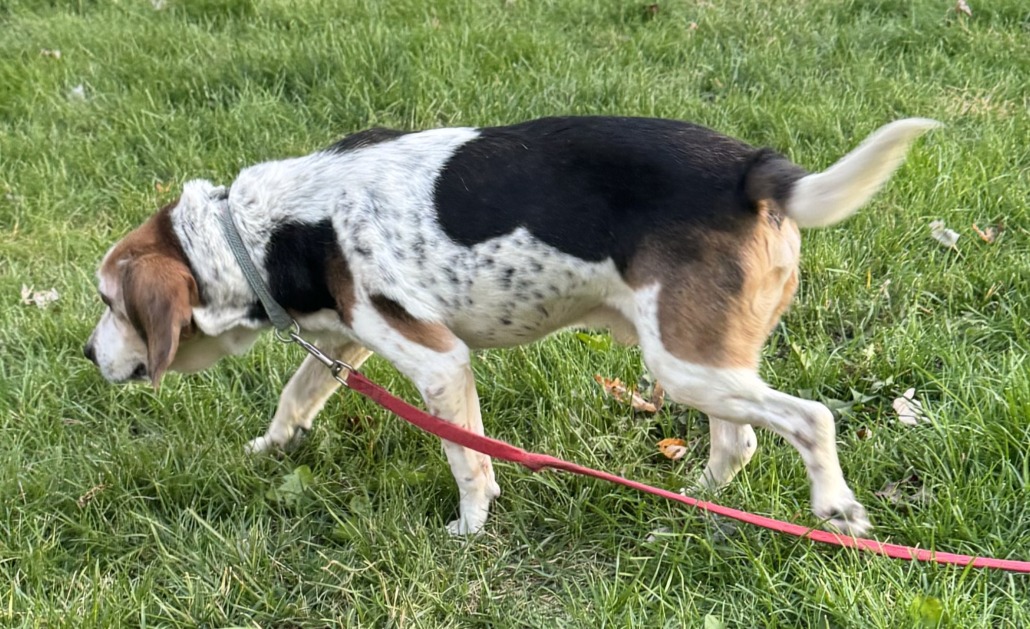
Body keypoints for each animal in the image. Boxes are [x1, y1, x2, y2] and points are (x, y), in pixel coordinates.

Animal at [84, 115, 937, 536]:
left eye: (108, 302)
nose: (87, 354)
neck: (262, 230)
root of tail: (754, 170)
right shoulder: (343, 337)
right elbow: (294, 397)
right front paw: (269, 448)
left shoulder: (439, 364)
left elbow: (468, 461)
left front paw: (470, 527)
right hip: (691, 361)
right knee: (741, 440)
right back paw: (697, 500)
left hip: (685, 362)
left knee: (810, 418)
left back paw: (836, 509)